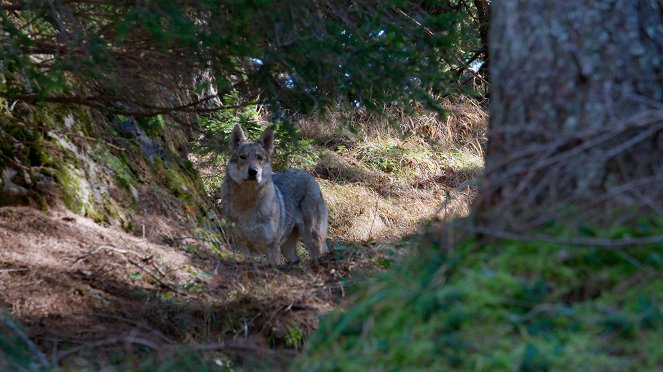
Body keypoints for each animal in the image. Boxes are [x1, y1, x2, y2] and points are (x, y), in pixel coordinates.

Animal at [222, 125, 328, 264]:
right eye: (243, 157)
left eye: (259, 158)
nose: (253, 171)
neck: (249, 201)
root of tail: (306, 173)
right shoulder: (242, 248)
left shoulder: (272, 249)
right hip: (286, 249)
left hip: (312, 239)